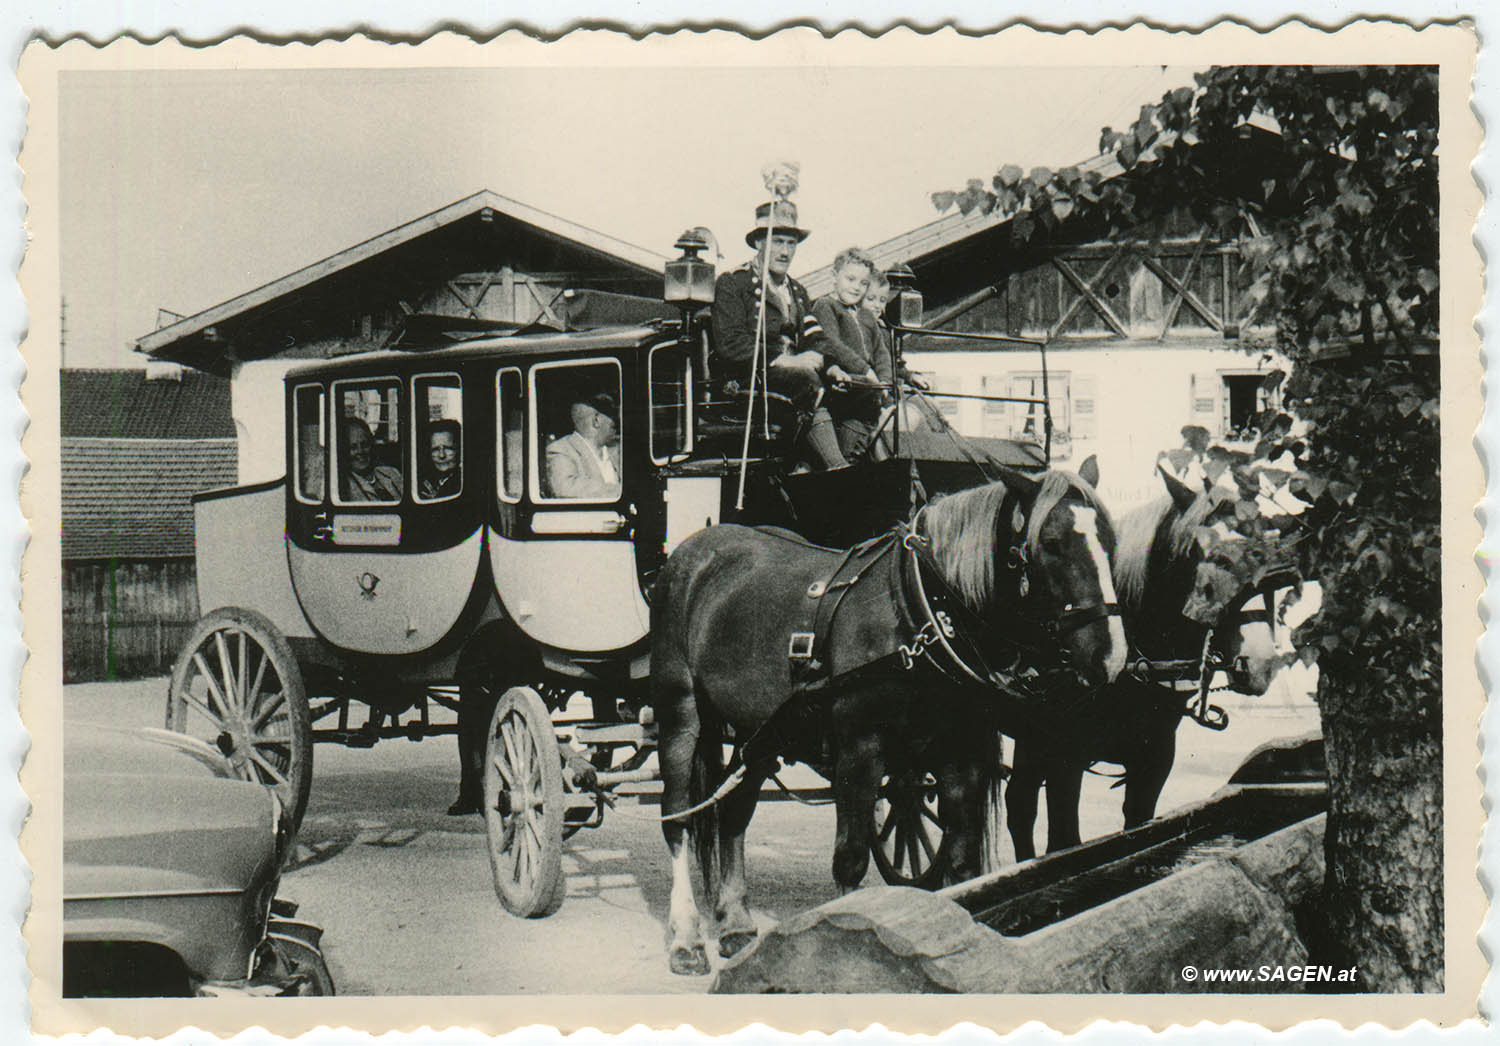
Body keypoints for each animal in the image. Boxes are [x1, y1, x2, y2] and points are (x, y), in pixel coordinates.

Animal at [654, 465, 1128, 972]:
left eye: (1110, 540)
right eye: (1052, 543)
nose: (1111, 656)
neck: (921, 617)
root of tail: (695, 548)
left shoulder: (960, 759)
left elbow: (961, 861)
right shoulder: (860, 755)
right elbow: (851, 858)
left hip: (759, 730)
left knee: (734, 812)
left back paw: (735, 924)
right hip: (680, 710)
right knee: (678, 819)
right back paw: (686, 939)